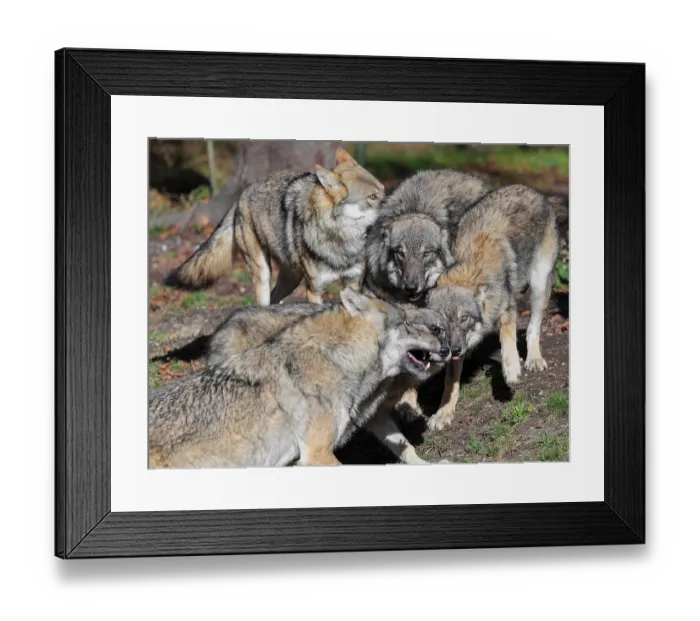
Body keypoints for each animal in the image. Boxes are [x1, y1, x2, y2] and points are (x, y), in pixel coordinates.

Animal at [166, 148, 385, 305]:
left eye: (382, 190)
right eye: (372, 197)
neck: (342, 243)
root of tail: (242, 195)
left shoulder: (353, 285)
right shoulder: (314, 291)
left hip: (291, 279)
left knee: (275, 301)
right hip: (263, 273)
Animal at [425, 184, 560, 431]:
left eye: (464, 319)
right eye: (439, 328)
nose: (454, 350)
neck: (468, 271)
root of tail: (534, 191)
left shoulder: (507, 308)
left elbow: (507, 338)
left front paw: (511, 369)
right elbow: (450, 382)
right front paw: (443, 413)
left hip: (538, 285)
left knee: (533, 327)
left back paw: (533, 359)